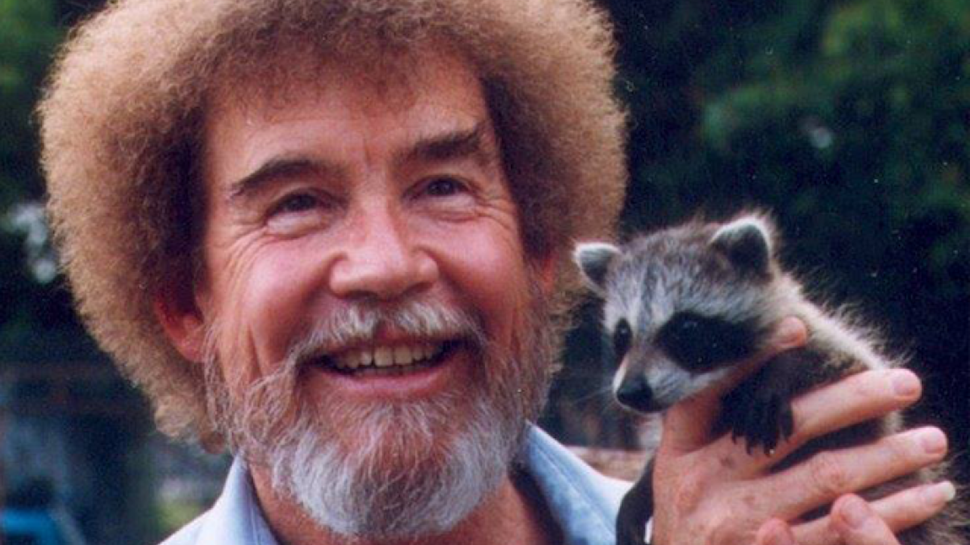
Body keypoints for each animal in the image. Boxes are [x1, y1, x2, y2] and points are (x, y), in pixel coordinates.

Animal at [573, 212, 963, 545]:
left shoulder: (835, 350)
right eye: (623, 334)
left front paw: (781, 371)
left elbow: (848, 363)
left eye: (685, 329)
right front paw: (641, 491)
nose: (630, 392)